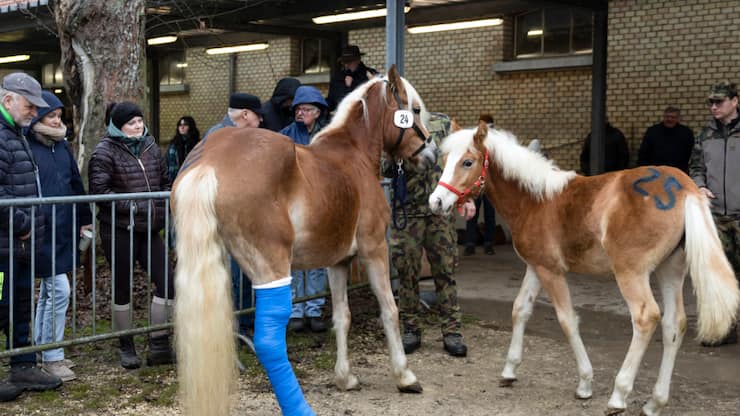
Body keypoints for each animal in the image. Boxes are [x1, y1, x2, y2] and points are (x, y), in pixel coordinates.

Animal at [171, 65, 435, 416]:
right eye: (415, 110)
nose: (431, 153)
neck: (353, 155)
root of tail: (212, 160)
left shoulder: (338, 261)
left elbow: (342, 316)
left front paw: (345, 377)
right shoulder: (373, 249)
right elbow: (389, 309)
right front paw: (405, 376)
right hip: (271, 266)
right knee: (269, 339)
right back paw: (299, 406)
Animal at [428, 122, 739, 416]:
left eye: (468, 162)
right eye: (445, 159)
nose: (436, 202)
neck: (535, 200)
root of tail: (685, 189)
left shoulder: (552, 272)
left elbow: (567, 320)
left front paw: (585, 384)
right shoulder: (536, 267)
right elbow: (520, 309)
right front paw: (509, 370)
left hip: (631, 273)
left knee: (646, 318)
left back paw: (619, 395)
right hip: (670, 271)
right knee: (675, 324)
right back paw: (655, 402)